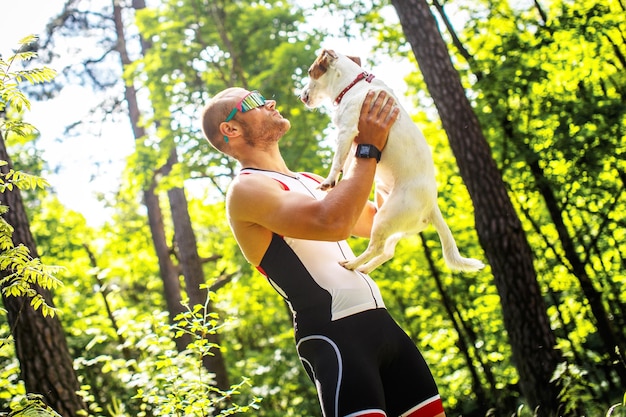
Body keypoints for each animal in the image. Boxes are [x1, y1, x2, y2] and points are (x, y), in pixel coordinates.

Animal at [298, 48, 482, 272]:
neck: (353, 85)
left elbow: (337, 162)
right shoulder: (352, 143)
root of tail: (432, 206)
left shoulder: (347, 131)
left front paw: (328, 182)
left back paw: (352, 264)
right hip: (394, 221)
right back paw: (364, 268)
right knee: (387, 251)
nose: (301, 96)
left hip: (386, 217)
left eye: (310, 71)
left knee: (376, 248)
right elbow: (346, 164)